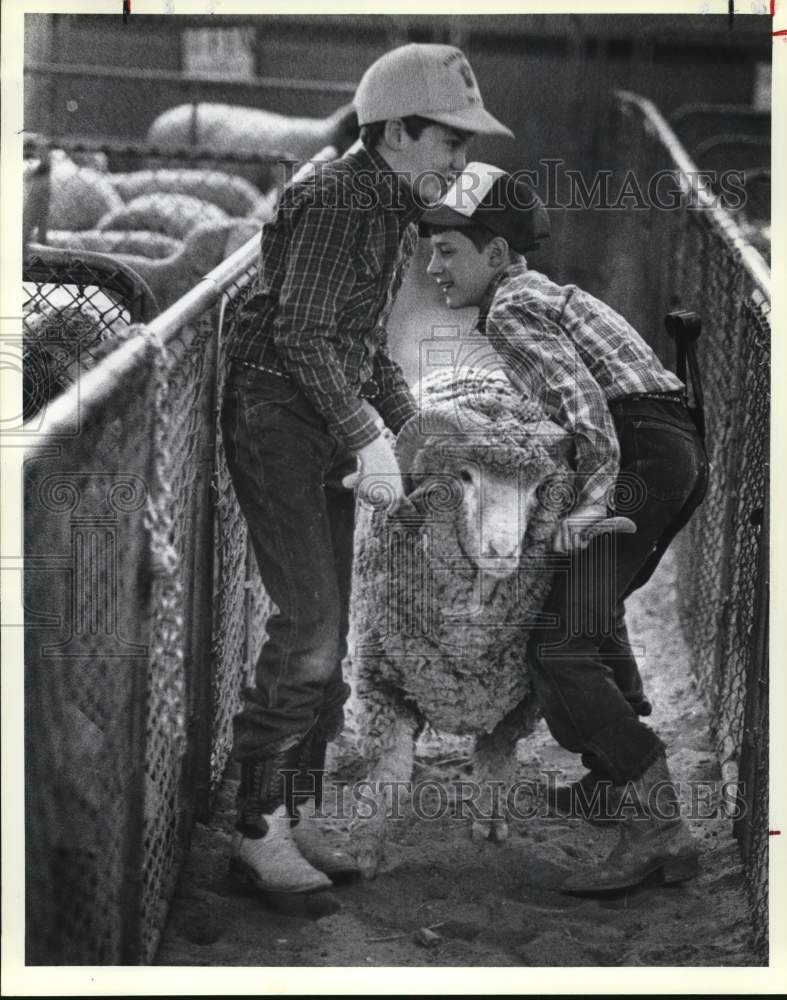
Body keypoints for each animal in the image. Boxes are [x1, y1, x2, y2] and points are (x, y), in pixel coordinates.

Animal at [346, 368, 636, 876]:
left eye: (540, 486)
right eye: (464, 477)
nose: (501, 550)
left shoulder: (518, 698)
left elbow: (496, 759)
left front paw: (491, 822)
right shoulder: (379, 680)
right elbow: (388, 771)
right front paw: (365, 848)